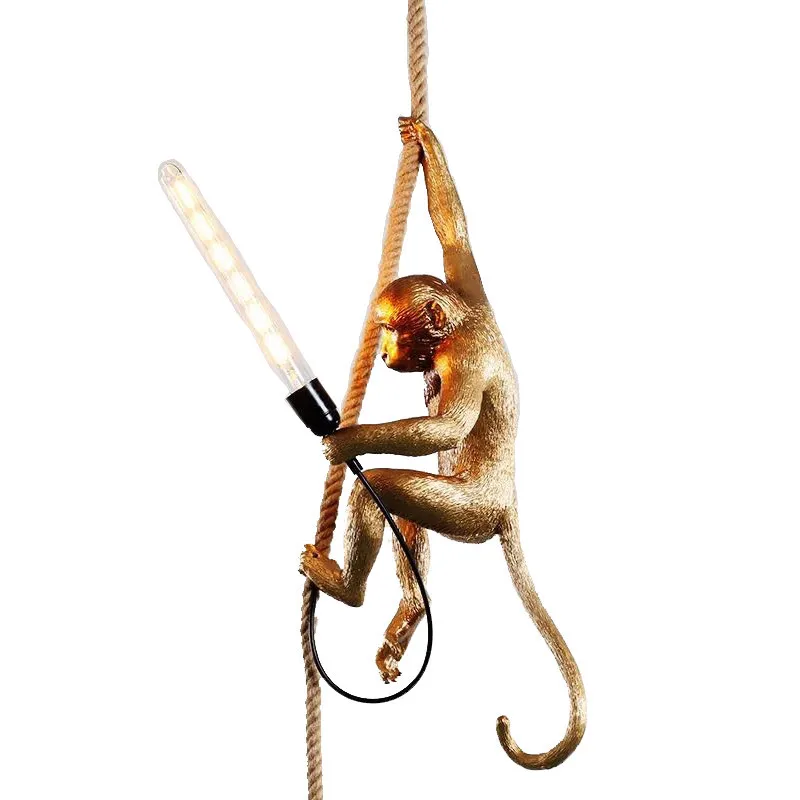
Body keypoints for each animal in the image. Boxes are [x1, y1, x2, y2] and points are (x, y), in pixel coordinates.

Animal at [300, 117, 586, 769]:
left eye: (390, 330)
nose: (381, 352)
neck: (458, 326)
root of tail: (506, 507)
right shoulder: (474, 293)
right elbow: (458, 237)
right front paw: (423, 141)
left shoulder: (468, 353)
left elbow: (447, 429)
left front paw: (345, 441)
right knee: (403, 517)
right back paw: (405, 616)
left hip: (469, 511)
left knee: (380, 488)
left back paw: (346, 589)